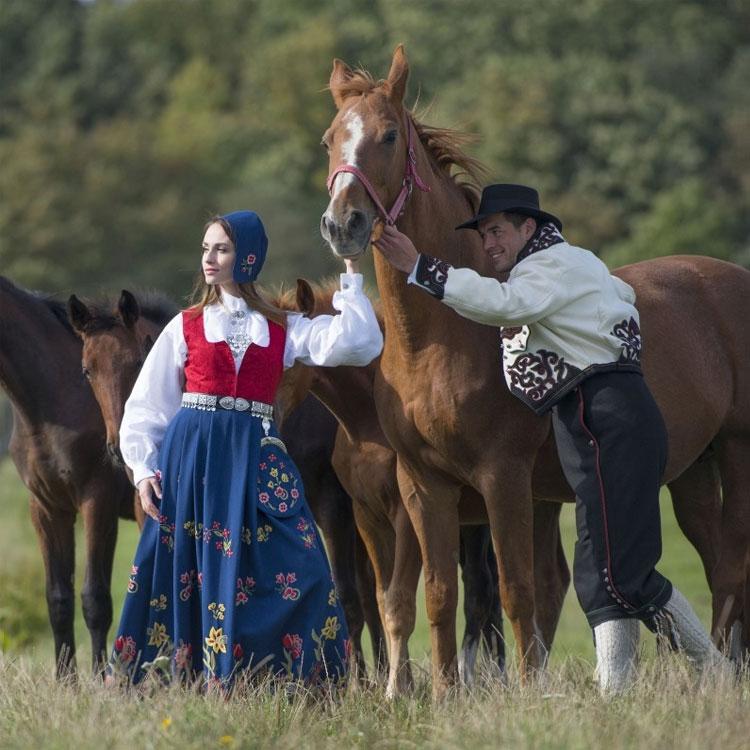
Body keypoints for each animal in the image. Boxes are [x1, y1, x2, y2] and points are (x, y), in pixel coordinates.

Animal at [0, 276, 137, 676]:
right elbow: (58, 599)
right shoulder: (47, 507)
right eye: (86, 371)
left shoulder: (97, 501)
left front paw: (101, 679)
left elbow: (95, 599)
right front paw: (66, 680)